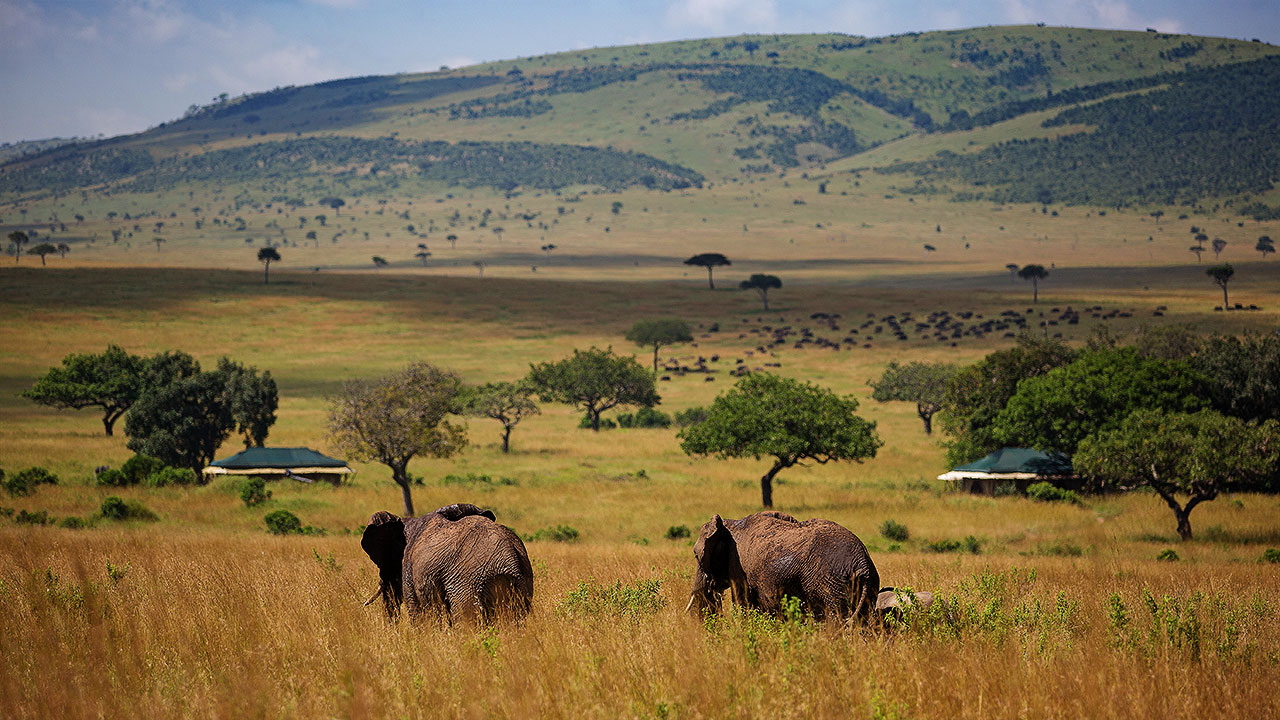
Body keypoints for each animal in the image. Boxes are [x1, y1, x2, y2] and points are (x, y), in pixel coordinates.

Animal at [691, 507, 880, 620]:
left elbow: (743, 604)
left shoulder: (737, 566)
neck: (730, 525)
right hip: (865, 587)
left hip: (832, 585)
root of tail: (863, 563)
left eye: (695, 555)